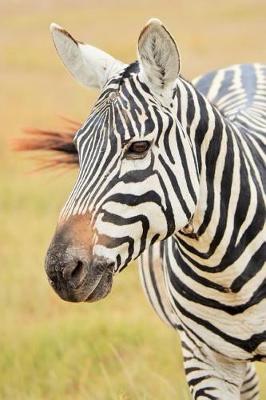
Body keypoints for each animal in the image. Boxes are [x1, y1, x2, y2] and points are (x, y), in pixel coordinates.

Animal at [26, 18, 264, 400]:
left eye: (138, 147)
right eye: (79, 149)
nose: (61, 271)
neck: (225, 267)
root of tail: (242, 67)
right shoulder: (204, 358)